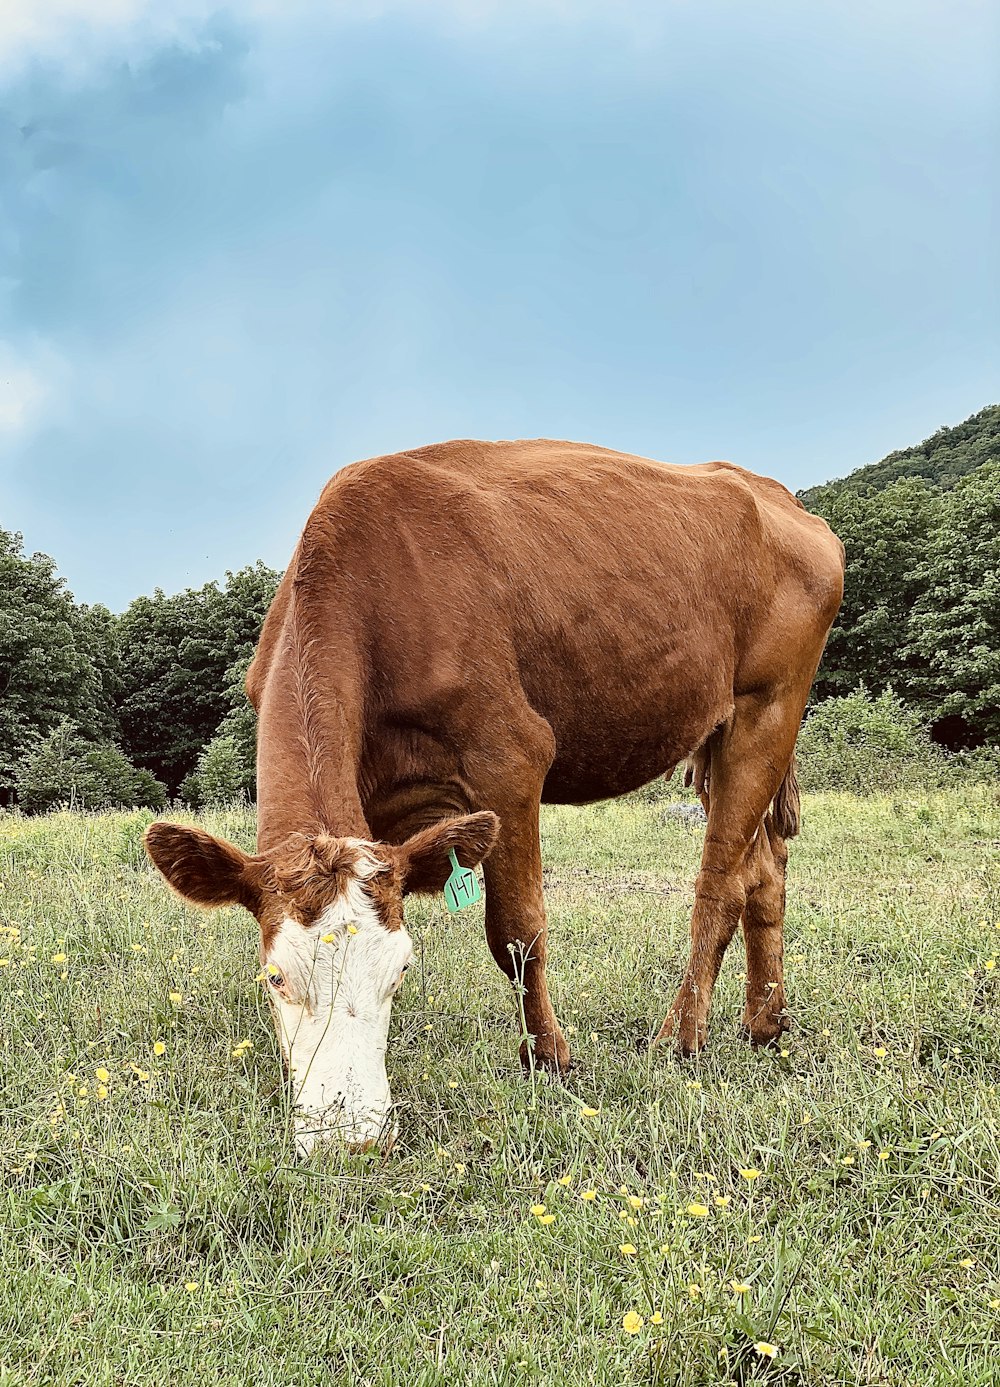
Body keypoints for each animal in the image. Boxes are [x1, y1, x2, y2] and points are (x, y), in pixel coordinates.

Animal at [142, 438, 843, 1153]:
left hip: (768, 706)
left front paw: (550, 1059)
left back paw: (680, 1039)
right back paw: (765, 1023)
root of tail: (773, 492)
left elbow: (517, 931)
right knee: (765, 870)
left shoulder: (510, 756)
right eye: (275, 977)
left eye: (402, 971)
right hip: (719, 729)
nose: (351, 1135)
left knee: (721, 881)